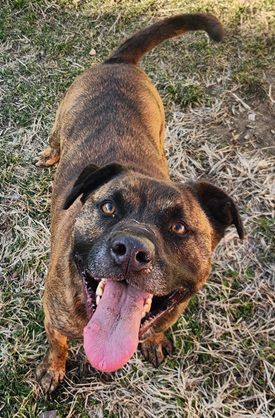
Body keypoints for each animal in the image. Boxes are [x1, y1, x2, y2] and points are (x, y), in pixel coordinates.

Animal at [35, 13, 245, 392]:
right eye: (108, 208)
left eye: (179, 227)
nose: (131, 249)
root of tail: (120, 62)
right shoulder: (53, 314)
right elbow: (57, 343)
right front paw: (52, 369)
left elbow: (159, 326)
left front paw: (155, 341)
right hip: (63, 115)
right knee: (56, 136)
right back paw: (51, 153)